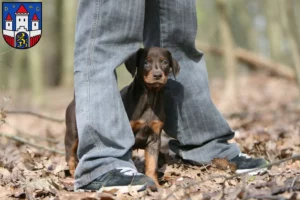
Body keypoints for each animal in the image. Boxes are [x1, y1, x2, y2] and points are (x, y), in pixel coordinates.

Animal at [64, 47, 179, 188]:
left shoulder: (154, 138)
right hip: (73, 132)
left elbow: (152, 164)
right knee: (70, 153)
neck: (150, 98)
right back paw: (73, 173)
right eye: (146, 62)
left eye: (165, 62)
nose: (157, 75)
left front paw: (155, 184)